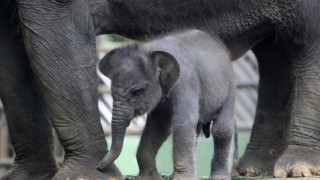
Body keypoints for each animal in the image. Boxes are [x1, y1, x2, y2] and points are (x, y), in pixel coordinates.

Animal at [97, 29, 235, 180]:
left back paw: (219, 177)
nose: (99, 167)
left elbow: (183, 122)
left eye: (136, 92)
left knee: (221, 129)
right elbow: (158, 126)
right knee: (196, 131)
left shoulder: (186, 82)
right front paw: (147, 177)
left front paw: (182, 179)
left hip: (230, 88)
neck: (149, 49)